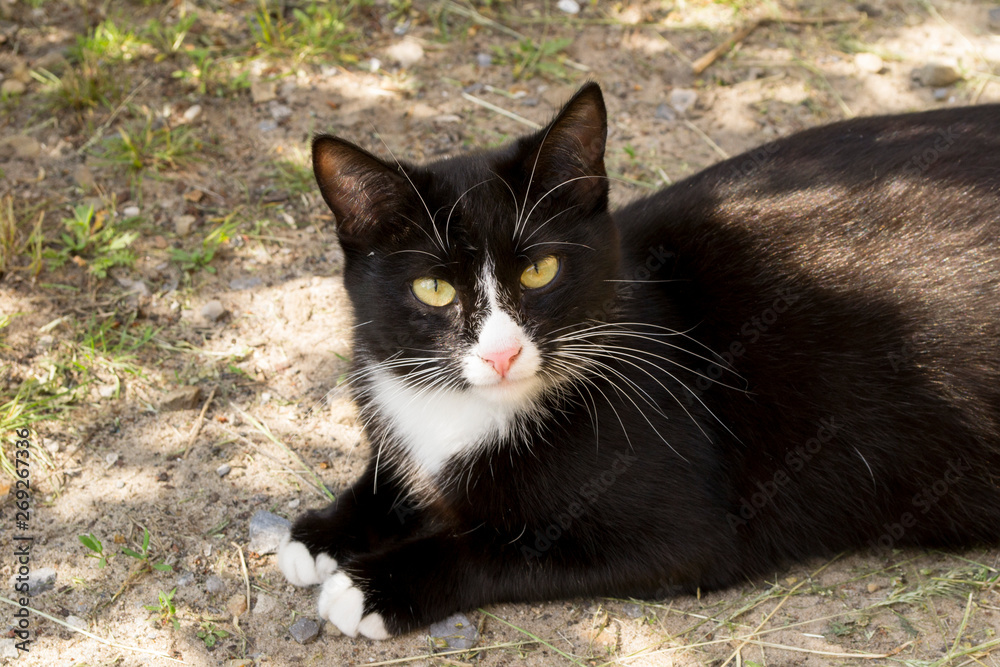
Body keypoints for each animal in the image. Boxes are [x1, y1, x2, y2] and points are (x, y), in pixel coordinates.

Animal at [278, 82, 1000, 636]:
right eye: (433, 289)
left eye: (540, 270)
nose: (504, 353)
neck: (466, 410)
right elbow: (393, 477)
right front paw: (322, 532)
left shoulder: (688, 532)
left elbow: (507, 543)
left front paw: (375, 584)